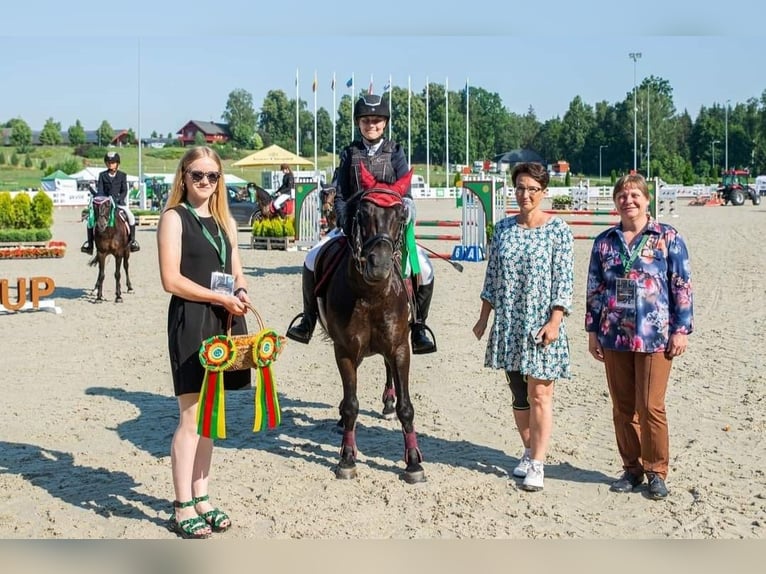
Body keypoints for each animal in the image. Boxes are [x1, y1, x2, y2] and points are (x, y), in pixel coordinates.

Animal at [316, 162, 428, 486]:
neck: (372, 294)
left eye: (400, 216)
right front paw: (347, 458)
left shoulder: (400, 347)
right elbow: (352, 404)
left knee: (388, 369)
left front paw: (413, 463)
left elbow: (406, 407)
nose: (378, 265)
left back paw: (387, 402)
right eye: (362, 213)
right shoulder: (344, 351)